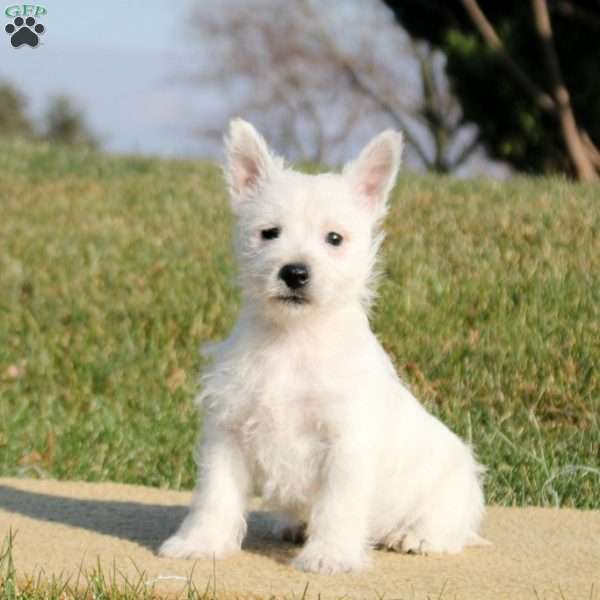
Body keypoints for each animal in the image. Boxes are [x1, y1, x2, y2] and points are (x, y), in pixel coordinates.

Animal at [161, 119, 488, 576]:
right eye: (269, 233)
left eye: (334, 238)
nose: (294, 273)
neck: (293, 339)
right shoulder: (228, 431)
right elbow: (215, 496)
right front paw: (199, 543)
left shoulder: (345, 443)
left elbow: (338, 506)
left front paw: (330, 557)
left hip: (452, 488)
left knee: (449, 525)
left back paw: (415, 537)